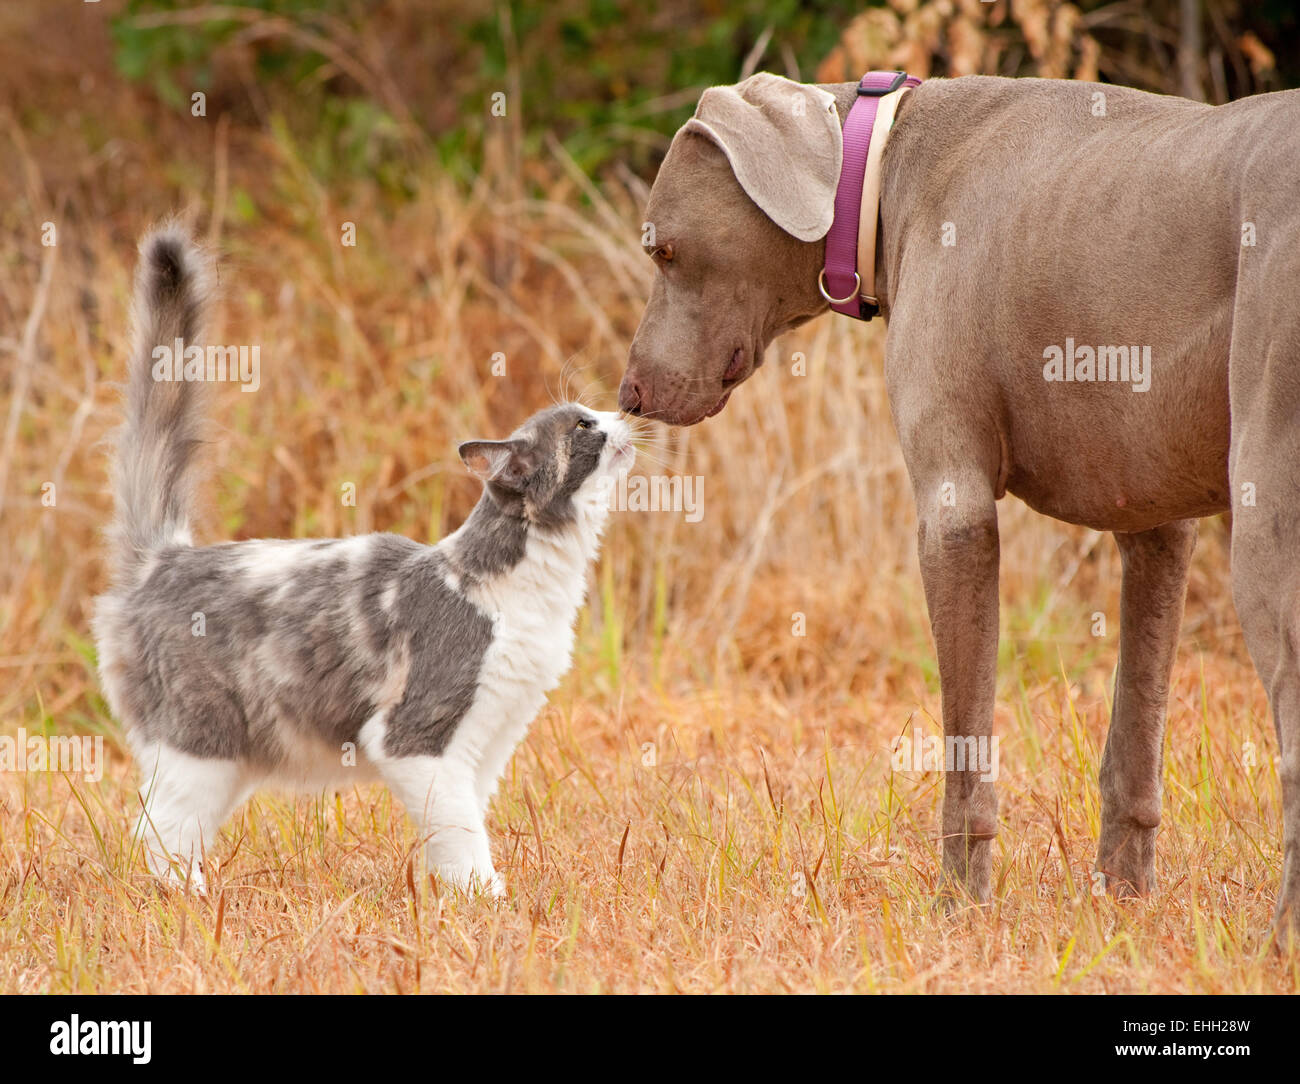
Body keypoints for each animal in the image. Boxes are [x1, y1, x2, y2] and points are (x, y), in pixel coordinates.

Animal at [92, 223, 634, 889]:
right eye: (583, 427)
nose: (622, 412)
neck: (526, 593)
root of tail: (163, 559)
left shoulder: (487, 740)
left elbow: (460, 828)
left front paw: (449, 897)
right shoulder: (413, 738)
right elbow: (463, 839)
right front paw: (485, 900)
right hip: (200, 746)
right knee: (156, 836)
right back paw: (186, 900)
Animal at [616, 71, 1300, 935]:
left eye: (665, 251)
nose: (628, 395)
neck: (884, 160)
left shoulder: (955, 514)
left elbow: (964, 744)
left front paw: (958, 902)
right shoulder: (1153, 522)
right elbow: (1134, 731)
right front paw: (1123, 899)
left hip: (1268, 519)